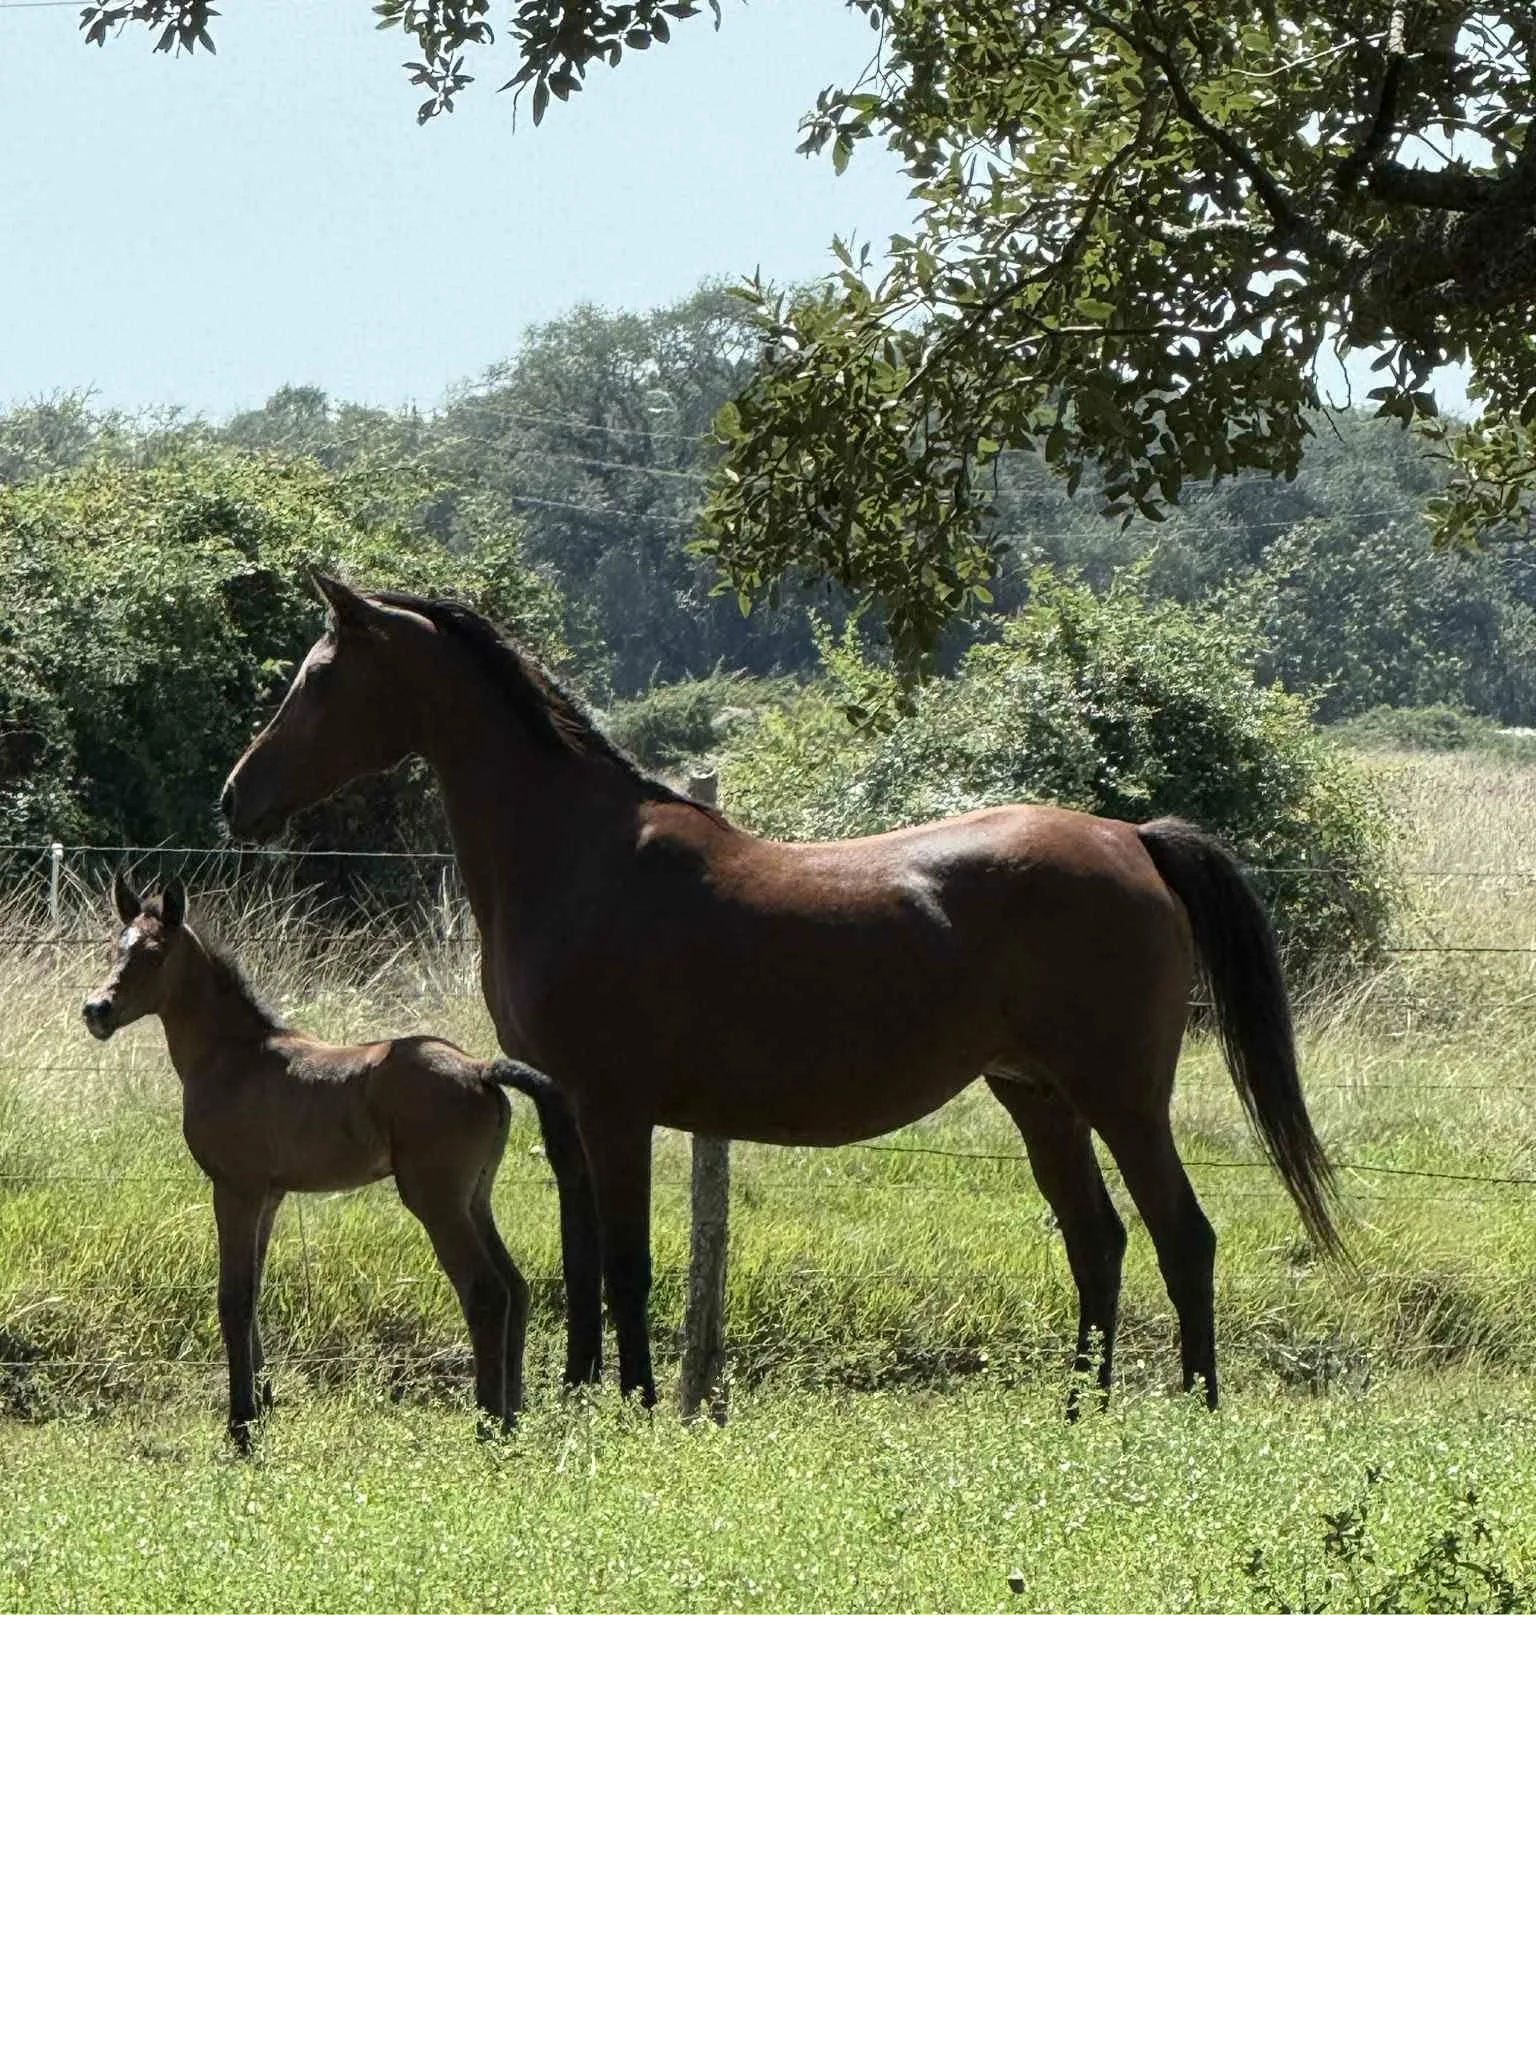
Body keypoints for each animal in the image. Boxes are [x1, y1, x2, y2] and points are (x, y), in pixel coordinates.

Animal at [82, 869, 564, 1447]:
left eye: (153, 954)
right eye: (115, 947)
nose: (96, 1011)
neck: (234, 1054)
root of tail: (479, 1069)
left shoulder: (235, 1189)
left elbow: (233, 1299)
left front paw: (241, 1426)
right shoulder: (269, 1195)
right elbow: (253, 1294)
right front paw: (263, 1408)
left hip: (436, 1200)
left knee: (486, 1291)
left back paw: (489, 1425)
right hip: (475, 1197)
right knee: (515, 1287)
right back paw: (513, 1419)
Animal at [221, 573, 1343, 1416]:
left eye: (319, 677)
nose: (236, 798)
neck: (580, 854)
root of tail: (1135, 838)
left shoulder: (616, 1111)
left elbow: (627, 1265)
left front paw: (635, 1406)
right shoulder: (563, 1112)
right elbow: (581, 1265)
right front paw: (580, 1400)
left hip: (1119, 1097)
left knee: (1182, 1237)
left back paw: (1192, 1413)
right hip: (1038, 1096)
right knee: (1098, 1242)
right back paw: (1079, 1414)